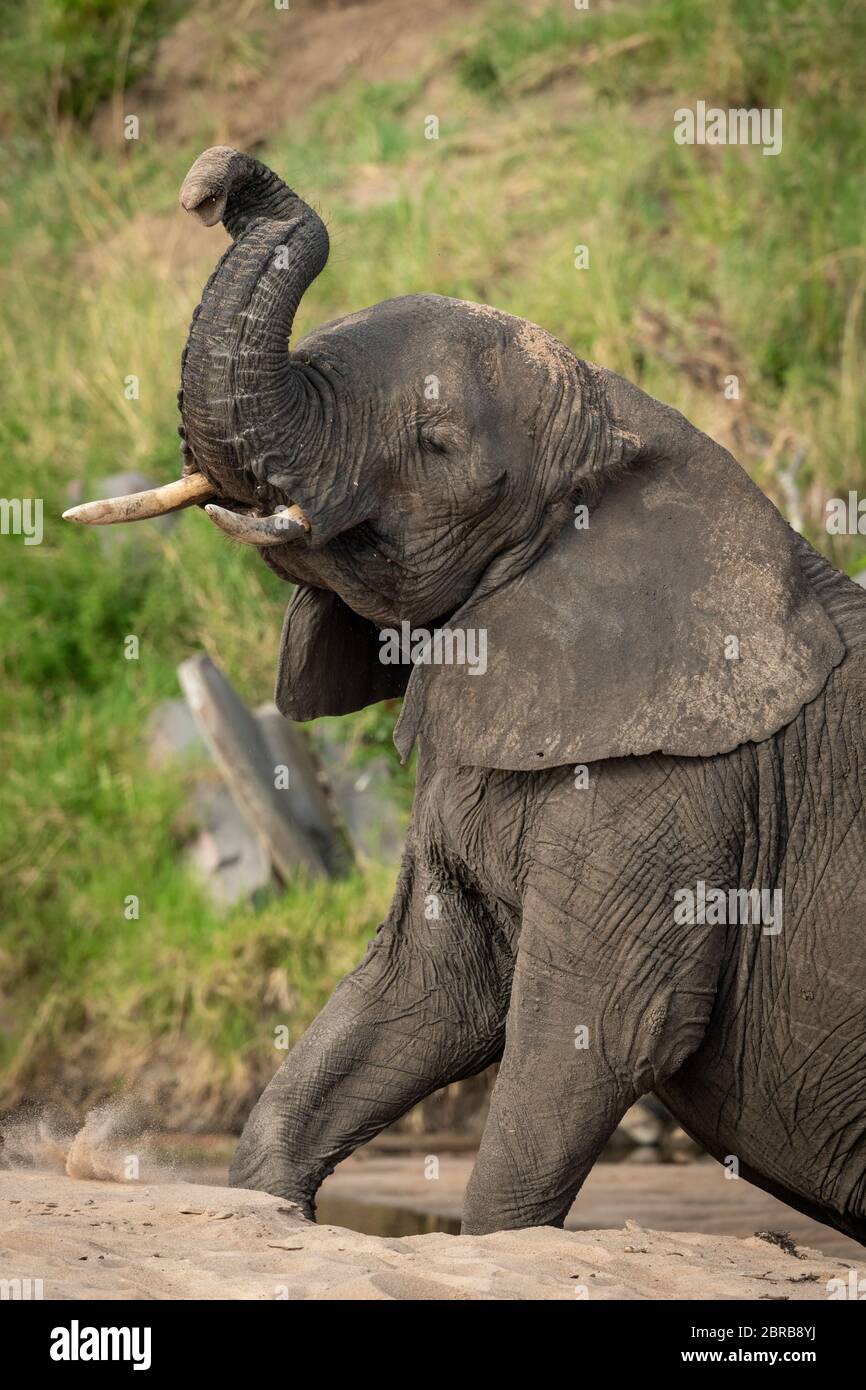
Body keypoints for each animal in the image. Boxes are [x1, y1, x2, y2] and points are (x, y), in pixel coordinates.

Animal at [66, 147, 866, 1243]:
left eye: (438, 446)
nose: (215, 178)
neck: (626, 415)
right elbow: (420, 993)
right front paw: (270, 1210)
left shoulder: (678, 793)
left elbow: (599, 1031)